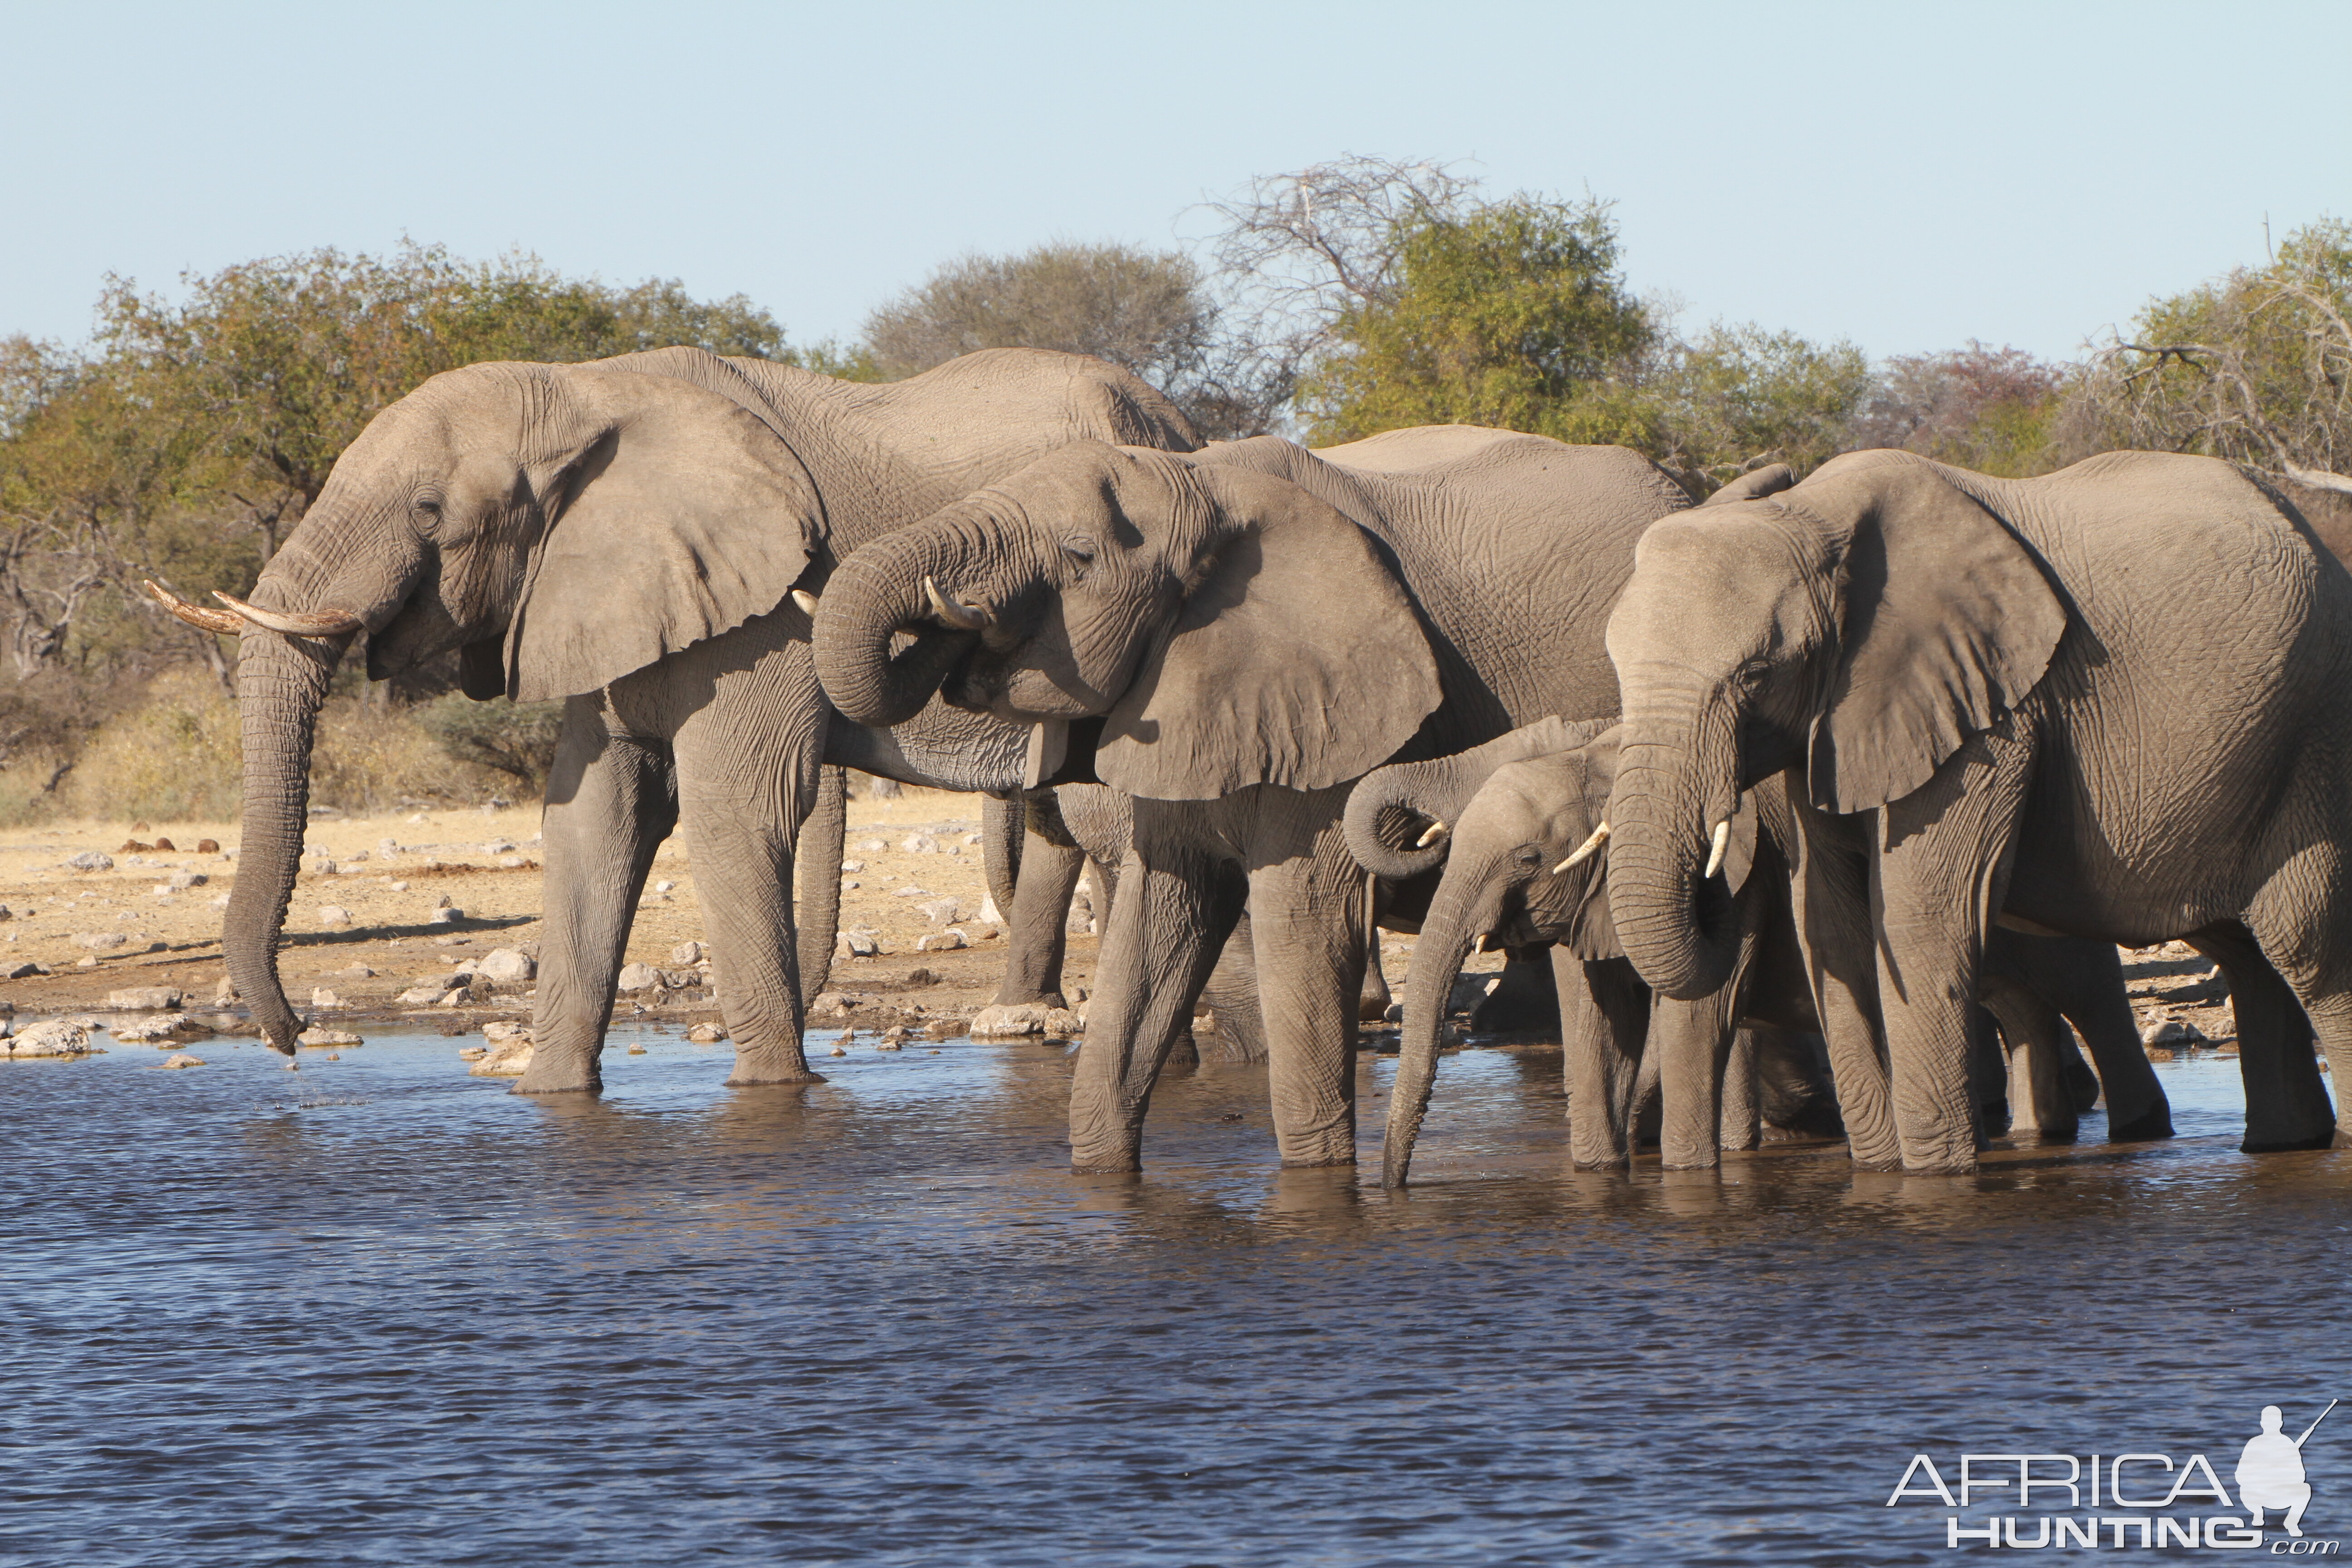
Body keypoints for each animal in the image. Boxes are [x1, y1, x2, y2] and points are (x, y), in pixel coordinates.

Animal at [144, 350, 1195, 1100]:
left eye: (430, 510)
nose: (294, 1040)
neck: (583, 388)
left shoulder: (756, 615)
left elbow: (732, 809)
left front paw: (772, 1091)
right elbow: (590, 819)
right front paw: (548, 1094)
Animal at [809, 425, 1693, 1166]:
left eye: (1079, 556)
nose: (948, 623)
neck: (1200, 486)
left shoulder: (1326, 704)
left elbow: (1302, 910)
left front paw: (1318, 1182)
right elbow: (1164, 914)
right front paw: (1103, 1176)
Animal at [1354, 719, 2173, 1185]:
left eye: (1527, 858)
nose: (1394, 1185)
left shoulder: (1739, 879)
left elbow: (1694, 1014)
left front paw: (1686, 1174)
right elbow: (1598, 1028)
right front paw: (1599, 1170)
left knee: (2081, 988)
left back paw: (2136, 1130)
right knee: (2021, 1004)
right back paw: (2042, 1131)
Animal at [1599, 446, 2352, 1171]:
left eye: (1757, 674)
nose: (1714, 878)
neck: (1813, 513)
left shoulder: (1987, 716)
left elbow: (1921, 918)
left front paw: (1936, 1176)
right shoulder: (1836, 725)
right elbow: (1830, 923)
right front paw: (1881, 1173)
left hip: (2315, 736)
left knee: (2307, 949)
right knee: (2247, 951)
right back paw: (2284, 1145)